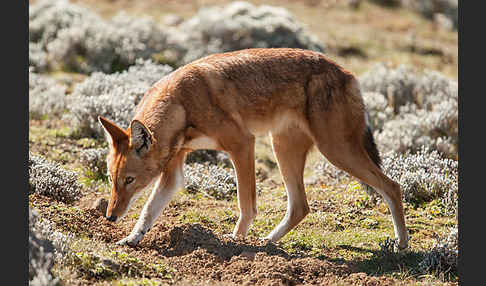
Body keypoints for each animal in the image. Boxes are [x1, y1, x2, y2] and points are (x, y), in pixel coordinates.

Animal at [97, 49, 408, 250]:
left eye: (129, 180)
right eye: (112, 179)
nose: (109, 217)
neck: (181, 105)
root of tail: (349, 73)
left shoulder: (242, 144)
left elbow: (246, 204)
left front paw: (235, 242)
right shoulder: (174, 171)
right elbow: (148, 211)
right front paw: (131, 239)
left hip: (335, 151)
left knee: (393, 186)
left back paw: (402, 245)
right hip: (284, 149)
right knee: (301, 207)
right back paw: (268, 242)